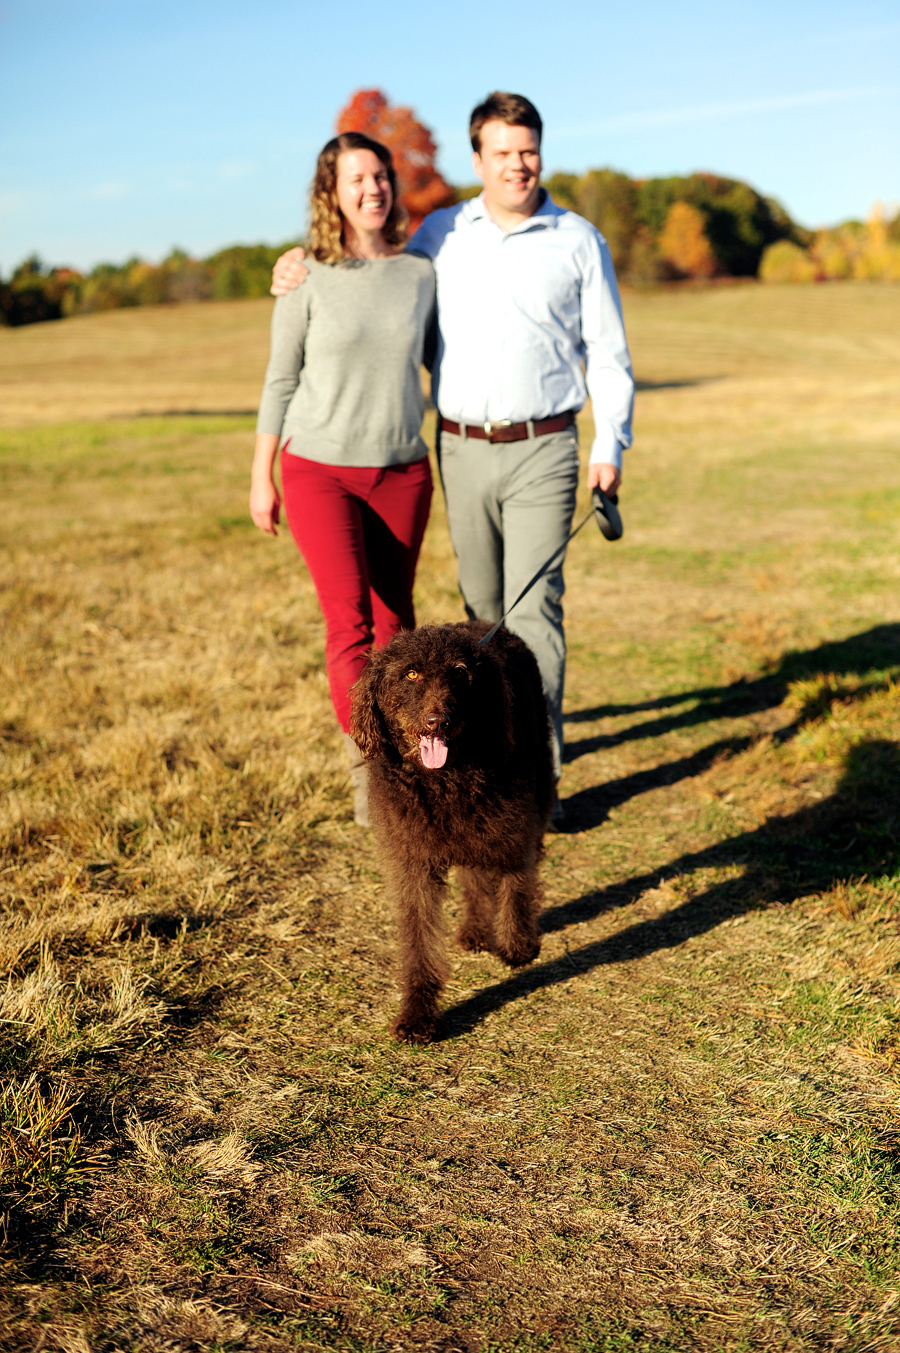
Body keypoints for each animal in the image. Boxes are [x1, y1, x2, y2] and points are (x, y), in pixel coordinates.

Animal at [346, 619, 552, 1039]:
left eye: (460, 674)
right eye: (410, 674)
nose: (437, 722)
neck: (444, 783)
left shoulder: (510, 832)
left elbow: (516, 886)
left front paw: (517, 944)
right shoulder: (414, 864)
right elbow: (419, 939)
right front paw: (417, 1015)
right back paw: (475, 929)